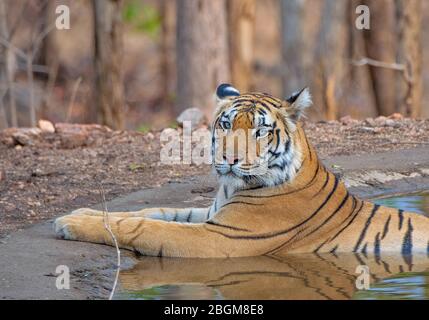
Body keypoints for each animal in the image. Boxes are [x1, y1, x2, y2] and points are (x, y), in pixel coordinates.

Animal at [53, 84, 428, 258]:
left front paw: (69, 223)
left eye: (260, 131)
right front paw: (82, 211)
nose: (230, 158)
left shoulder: (219, 239)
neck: (233, 187)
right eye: (226, 124)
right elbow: (151, 211)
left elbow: (146, 225)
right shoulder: (212, 215)